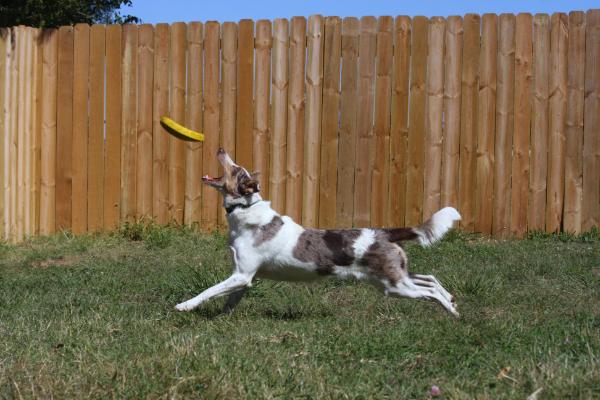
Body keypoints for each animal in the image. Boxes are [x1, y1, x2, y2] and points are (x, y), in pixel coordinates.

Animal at [176, 148, 462, 318]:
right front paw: (220, 319)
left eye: (236, 169)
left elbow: (209, 291)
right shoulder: (246, 277)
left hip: (394, 285)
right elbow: (229, 300)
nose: (221, 149)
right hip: (393, 277)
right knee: (429, 278)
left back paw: (451, 311)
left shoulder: (241, 275)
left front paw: (184, 306)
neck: (245, 212)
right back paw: (452, 300)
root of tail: (382, 233)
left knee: (429, 292)